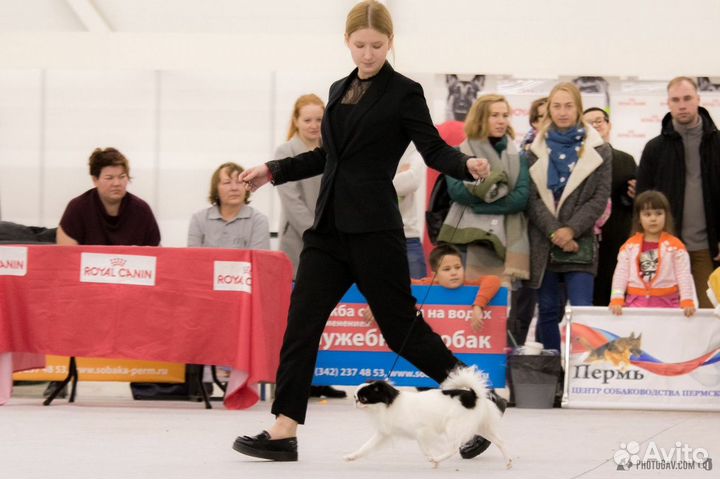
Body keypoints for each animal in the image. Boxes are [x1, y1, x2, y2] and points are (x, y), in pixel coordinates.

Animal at [344, 368, 510, 468]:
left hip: (454, 427)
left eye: (363, 399)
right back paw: (508, 462)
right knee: (500, 442)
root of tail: (473, 396)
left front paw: (433, 459)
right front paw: (351, 457)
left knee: (453, 448)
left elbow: (426, 449)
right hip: (481, 427)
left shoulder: (422, 432)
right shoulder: (383, 434)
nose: (355, 401)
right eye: (356, 397)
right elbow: (365, 447)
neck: (388, 405)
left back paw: (437, 459)